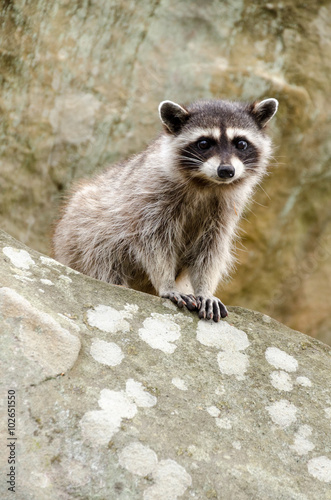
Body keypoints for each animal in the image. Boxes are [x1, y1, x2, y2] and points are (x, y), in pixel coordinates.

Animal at [53, 97, 278, 322]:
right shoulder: (150, 198)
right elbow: (153, 243)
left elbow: (211, 250)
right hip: (81, 235)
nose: (226, 171)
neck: (207, 184)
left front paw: (204, 289)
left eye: (241, 143)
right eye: (204, 143)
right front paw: (166, 283)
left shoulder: (223, 213)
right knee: (103, 259)